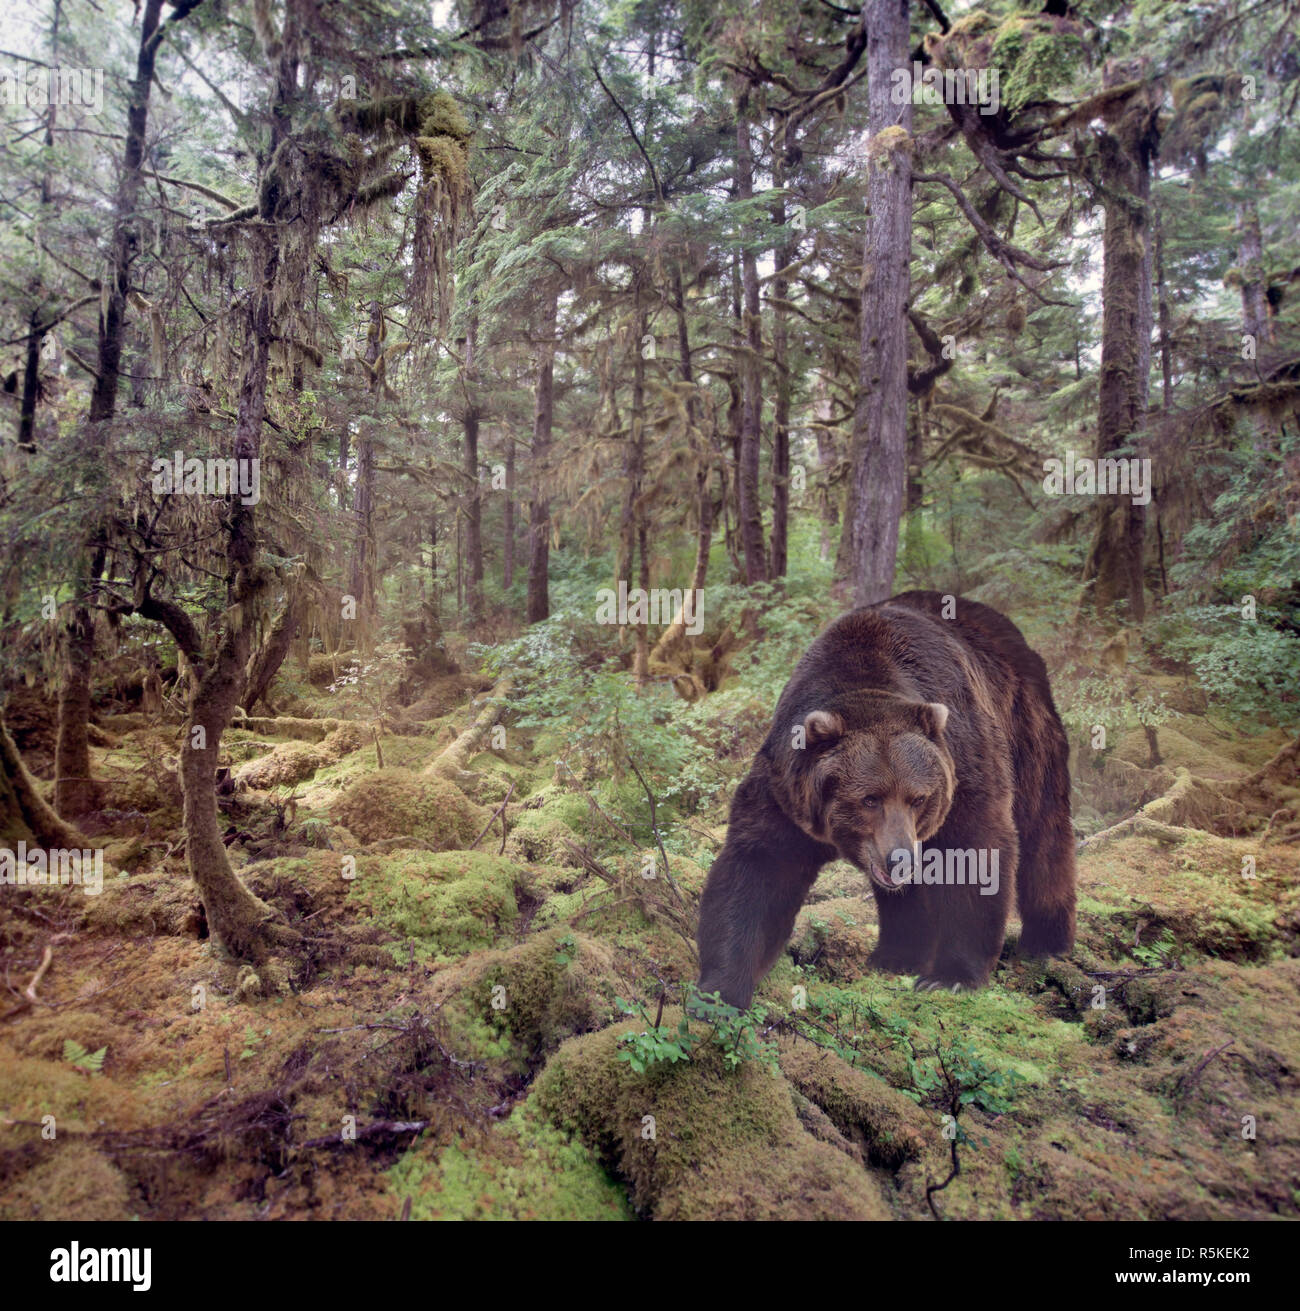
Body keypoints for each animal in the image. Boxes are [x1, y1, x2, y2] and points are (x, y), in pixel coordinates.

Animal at [696, 591, 1076, 1009]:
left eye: (918, 798)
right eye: (870, 799)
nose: (900, 858)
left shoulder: (962, 762)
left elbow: (974, 850)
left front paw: (949, 976)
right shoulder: (787, 789)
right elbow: (759, 867)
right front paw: (720, 990)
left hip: (1026, 731)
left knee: (1043, 834)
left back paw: (1046, 942)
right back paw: (895, 955)